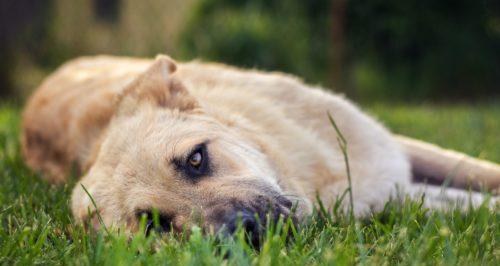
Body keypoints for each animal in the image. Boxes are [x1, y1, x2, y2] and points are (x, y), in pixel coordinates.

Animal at [21, 54, 498, 235]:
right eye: (157, 224)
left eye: (196, 159)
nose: (243, 230)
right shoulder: (384, 195)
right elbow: (466, 203)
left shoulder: (392, 154)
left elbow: (476, 173)